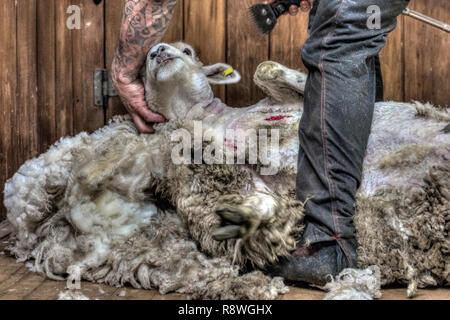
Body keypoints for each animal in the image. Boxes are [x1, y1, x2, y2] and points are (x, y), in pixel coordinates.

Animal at [3, 41, 450, 298]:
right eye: (145, 65)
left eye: (187, 51)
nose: (157, 49)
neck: (212, 120)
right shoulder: (227, 172)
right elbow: (266, 208)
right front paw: (249, 219)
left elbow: (266, 68)